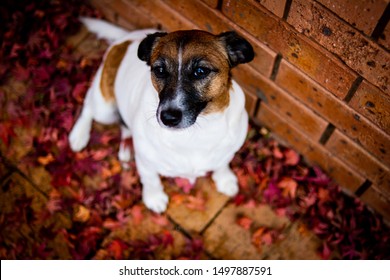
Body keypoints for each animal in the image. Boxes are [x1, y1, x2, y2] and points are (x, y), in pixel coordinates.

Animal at [68, 17, 254, 213]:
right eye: (160, 70)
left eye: (201, 71)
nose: (168, 118)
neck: (196, 132)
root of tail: (125, 39)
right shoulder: (146, 163)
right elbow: (151, 180)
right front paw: (154, 197)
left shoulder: (227, 151)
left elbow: (222, 164)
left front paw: (225, 179)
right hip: (104, 108)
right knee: (88, 105)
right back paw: (79, 135)